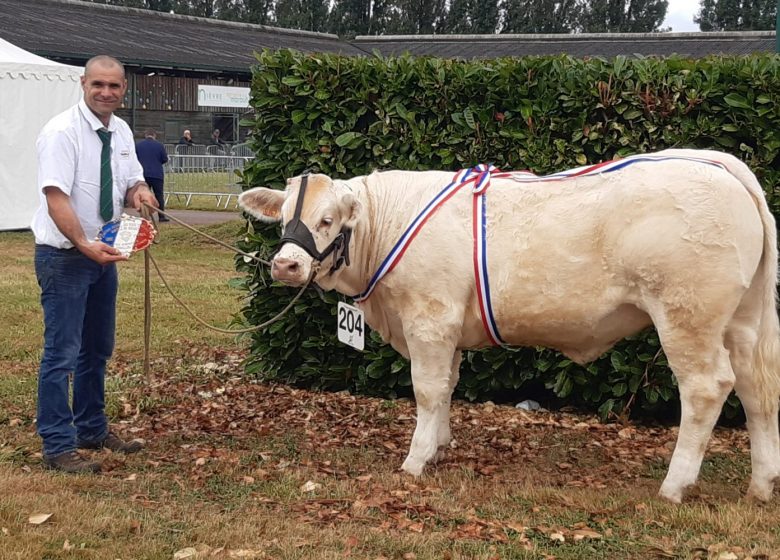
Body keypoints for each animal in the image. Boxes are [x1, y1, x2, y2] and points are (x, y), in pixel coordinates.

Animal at [238, 150, 780, 504]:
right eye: (282, 218)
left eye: (328, 219)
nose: (285, 265)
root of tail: (719, 167)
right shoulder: (448, 327)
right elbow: (449, 385)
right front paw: (439, 447)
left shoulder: (430, 317)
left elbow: (427, 389)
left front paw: (415, 460)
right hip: (743, 321)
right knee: (757, 391)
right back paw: (761, 485)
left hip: (687, 316)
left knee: (707, 389)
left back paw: (675, 485)